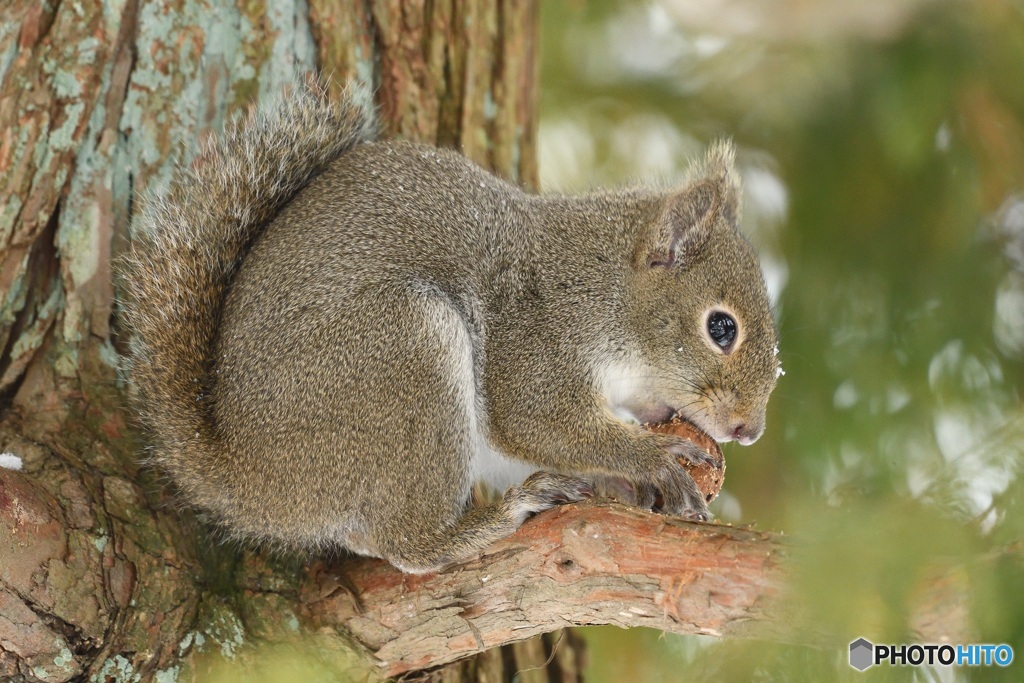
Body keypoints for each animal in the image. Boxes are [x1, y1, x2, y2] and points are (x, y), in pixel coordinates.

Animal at [119, 78, 774, 573]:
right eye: (720, 328)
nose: (750, 431)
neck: (604, 288)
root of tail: (246, 478)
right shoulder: (536, 336)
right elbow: (537, 420)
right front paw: (652, 457)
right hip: (404, 350)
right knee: (405, 546)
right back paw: (492, 519)